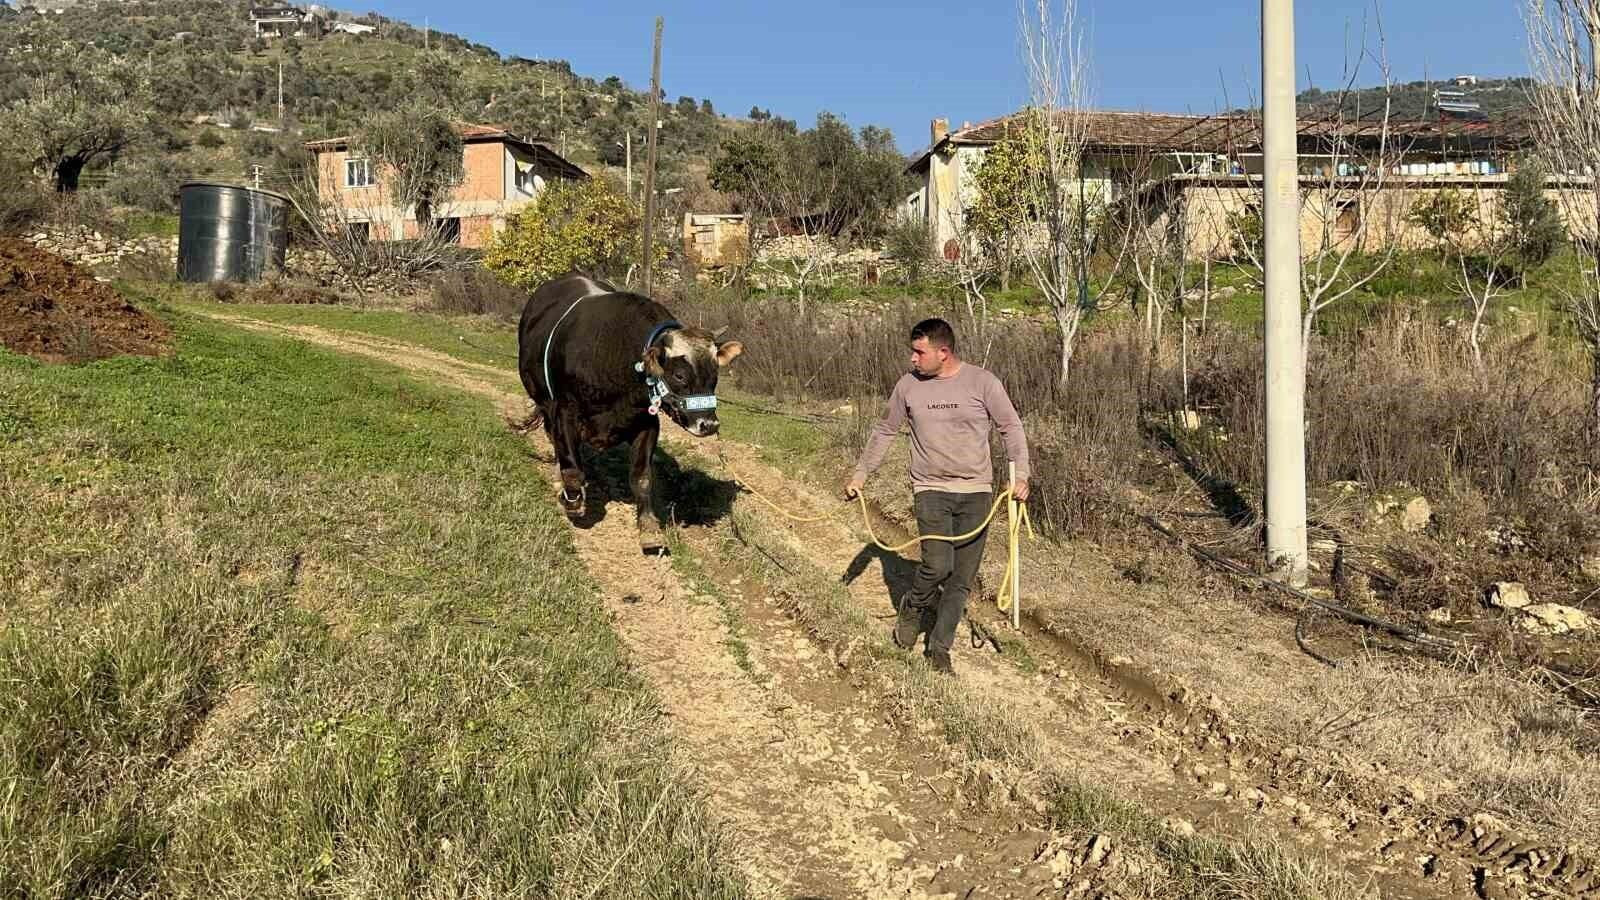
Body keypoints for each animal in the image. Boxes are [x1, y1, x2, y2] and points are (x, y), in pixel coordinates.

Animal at [512, 269, 742, 550]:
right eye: (679, 375)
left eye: (714, 375)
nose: (709, 424)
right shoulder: (564, 411)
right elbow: (571, 466)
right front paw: (573, 501)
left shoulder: (646, 424)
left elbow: (642, 477)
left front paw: (649, 528)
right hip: (543, 401)